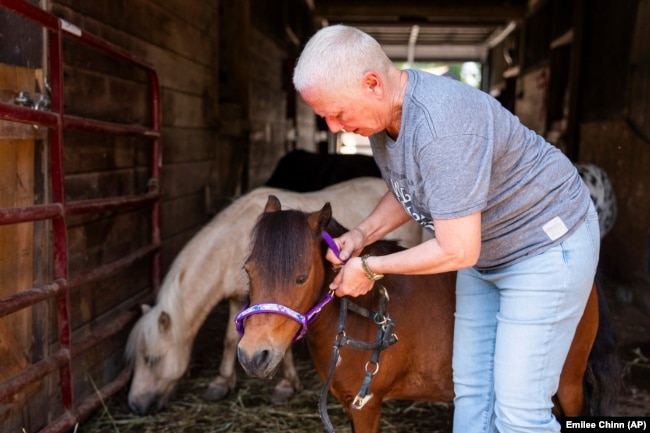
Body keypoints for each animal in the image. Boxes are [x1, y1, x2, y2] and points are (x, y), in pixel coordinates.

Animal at [124, 177, 422, 414]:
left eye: (152, 360)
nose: (135, 406)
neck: (230, 244)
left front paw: (285, 385)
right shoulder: (240, 299)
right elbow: (231, 340)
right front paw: (221, 383)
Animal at [234, 197, 616, 432]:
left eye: (300, 277)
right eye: (248, 270)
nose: (254, 355)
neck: (363, 314)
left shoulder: (366, 406)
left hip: (567, 386)